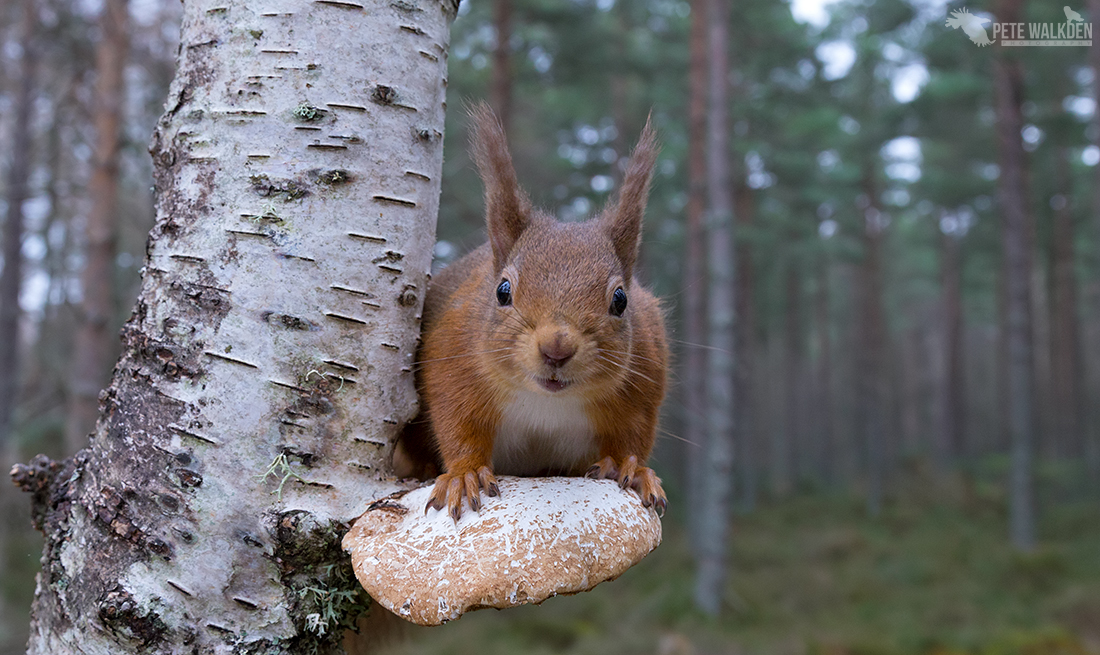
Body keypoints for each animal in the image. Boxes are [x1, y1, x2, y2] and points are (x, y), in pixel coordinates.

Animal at [400, 104, 664, 521]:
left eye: (621, 300)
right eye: (502, 291)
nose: (556, 349)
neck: (546, 403)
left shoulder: (645, 380)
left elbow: (632, 435)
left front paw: (631, 467)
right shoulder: (453, 362)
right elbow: (458, 425)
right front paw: (464, 474)